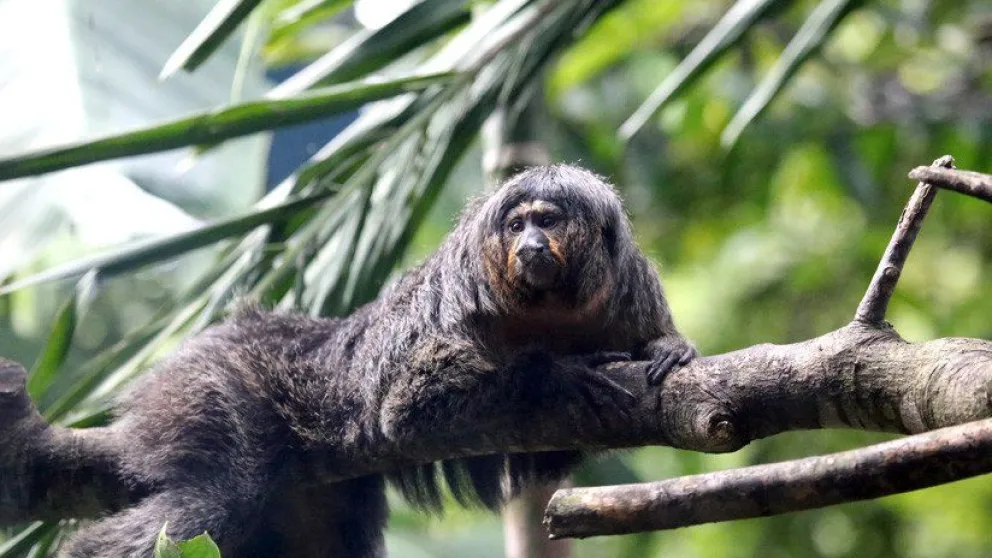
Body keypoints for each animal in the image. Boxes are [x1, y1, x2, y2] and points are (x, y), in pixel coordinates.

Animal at [37, 164, 696, 557]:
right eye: (516, 225)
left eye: (548, 221)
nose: (532, 245)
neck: (547, 307)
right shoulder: (459, 300)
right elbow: (411, 407)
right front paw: (553, 374)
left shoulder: (631, 294)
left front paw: (669, 350)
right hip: (209, 382)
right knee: (216, 494)